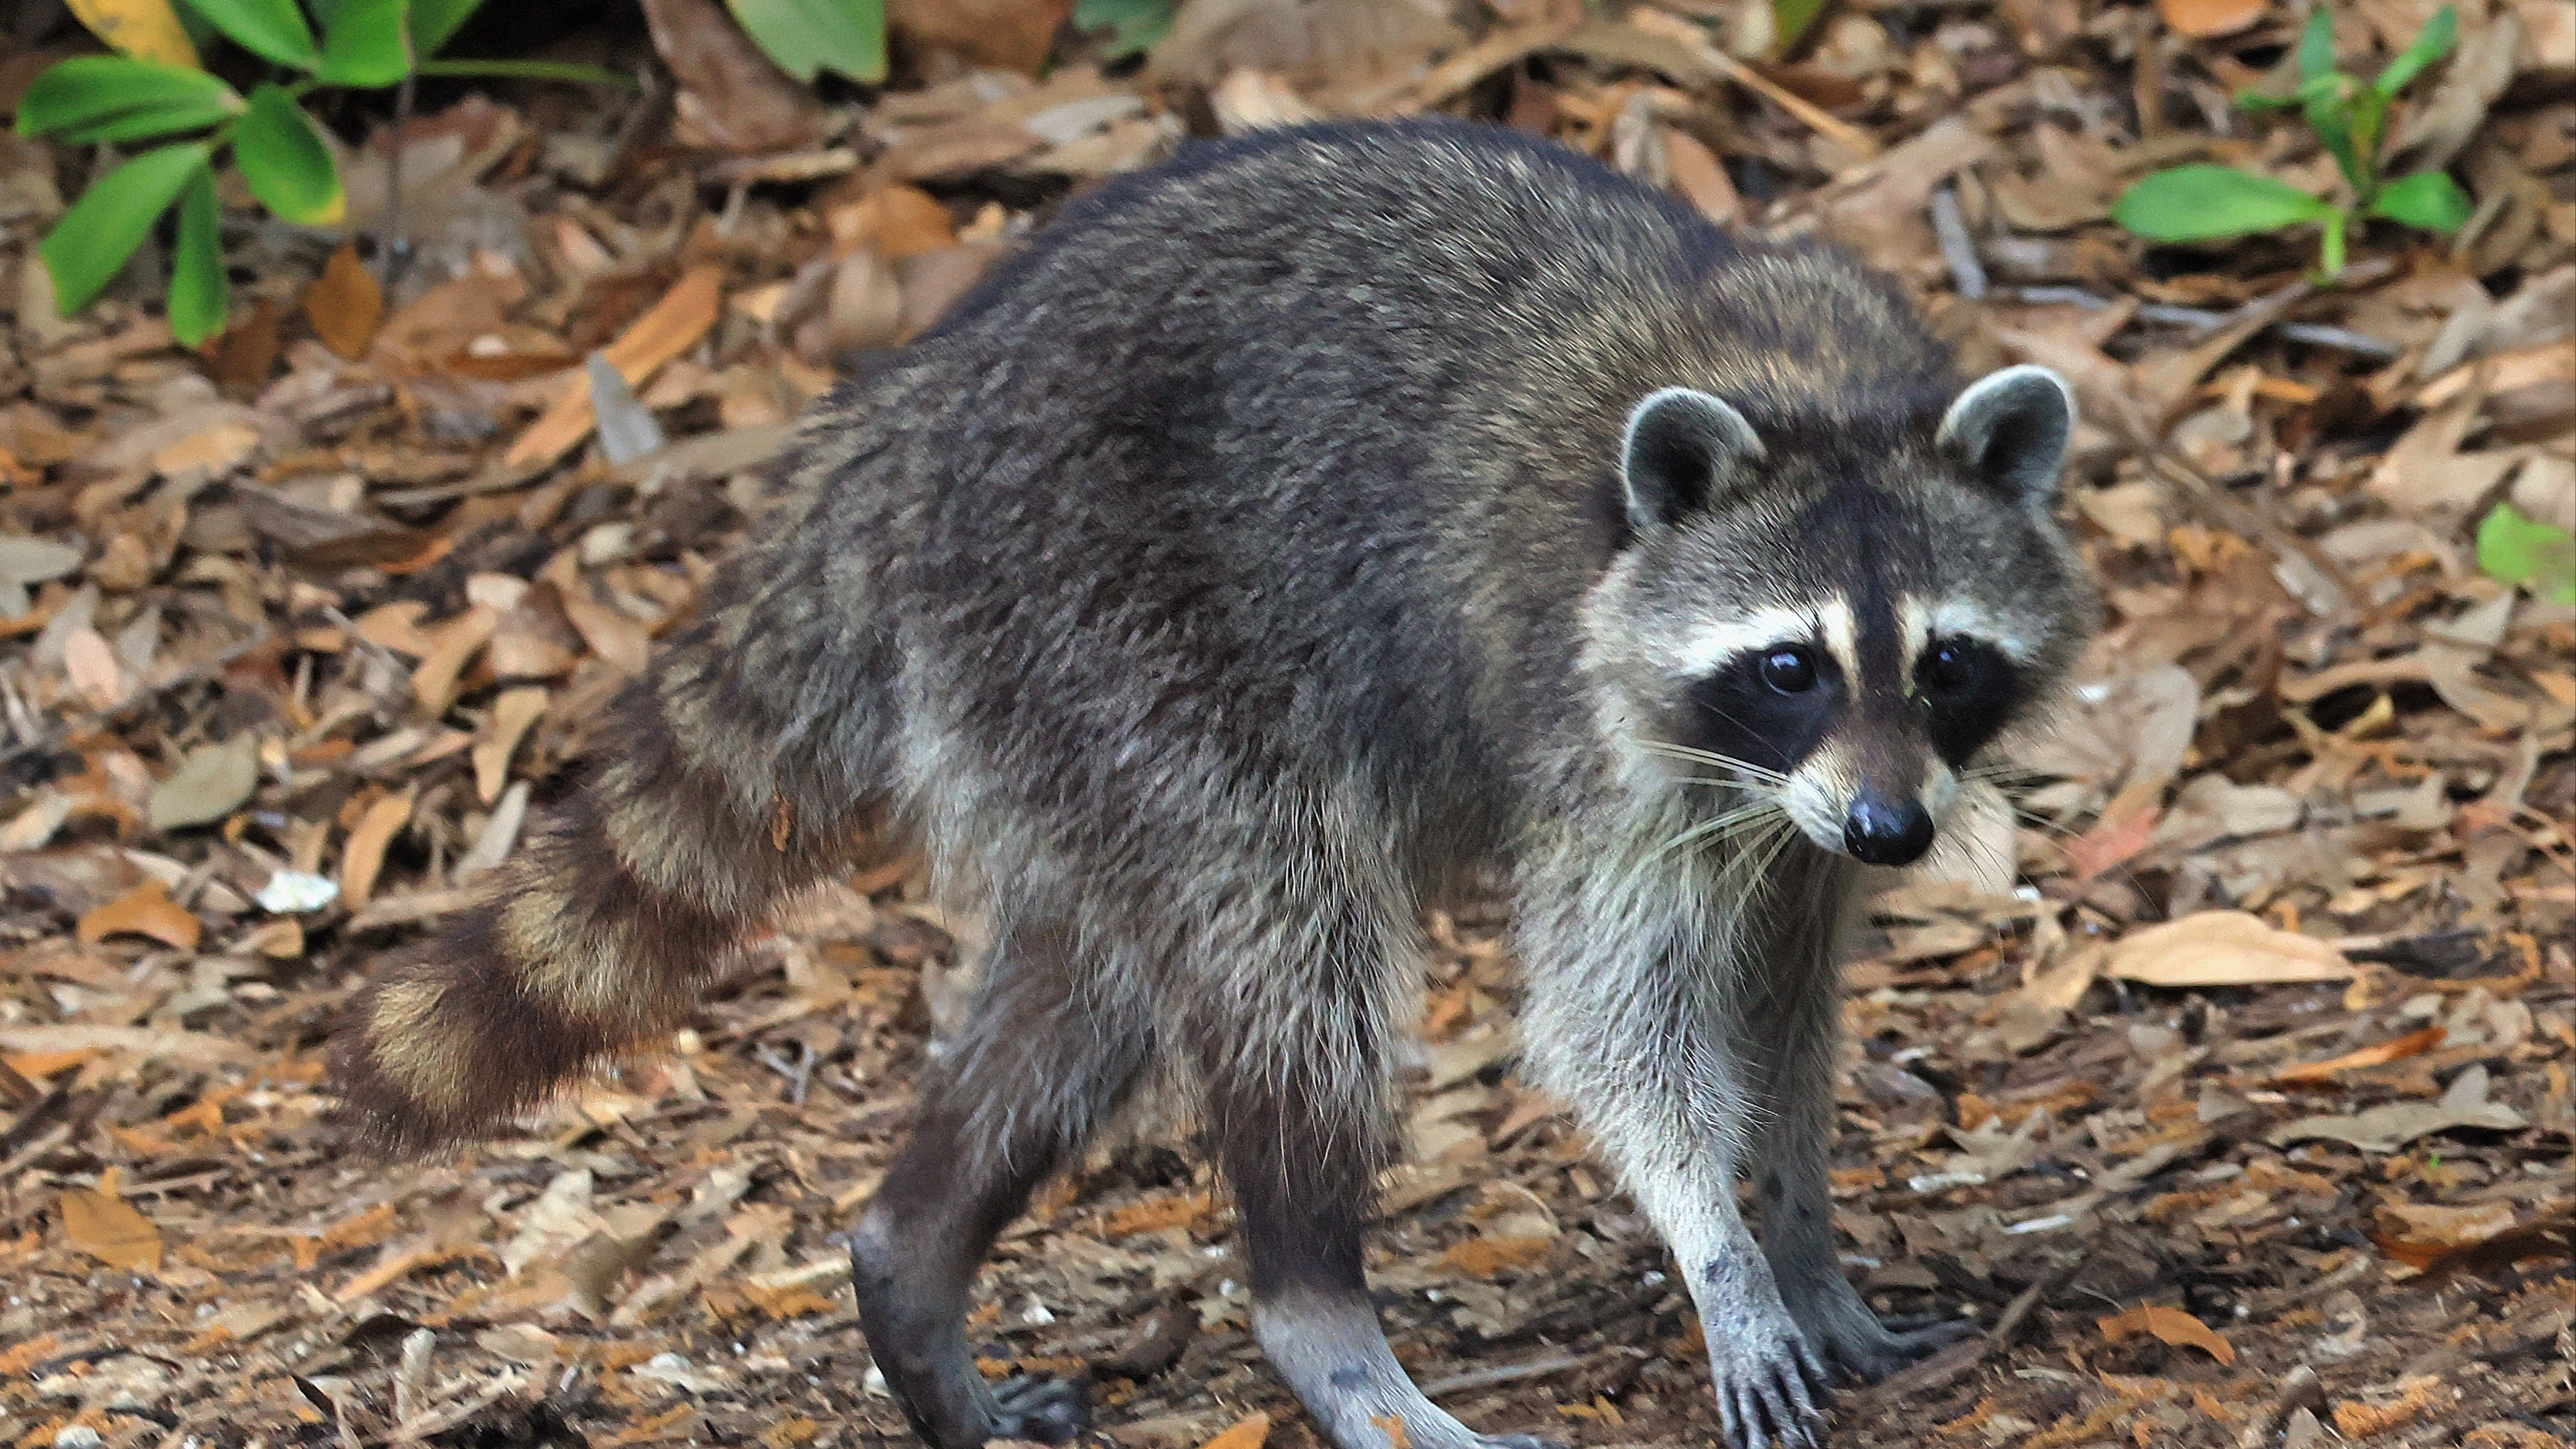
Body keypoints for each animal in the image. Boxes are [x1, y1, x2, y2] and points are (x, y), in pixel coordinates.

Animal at [332, 119, 2096, 1449]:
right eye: (1791, 665)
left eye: (1945, 661)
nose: (1897, 829)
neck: (1808, 392)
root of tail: (909, 415)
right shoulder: (1598, 743)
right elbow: (1617, 1025)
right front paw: (1718, 1249)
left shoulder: (1794, 826)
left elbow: (1786, 1012)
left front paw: (1801, 1234)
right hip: (1119, 625)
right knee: (1291, 965)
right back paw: (1323, 1323)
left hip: (1053, 706)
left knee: (1094, 987)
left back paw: (912, 1263)